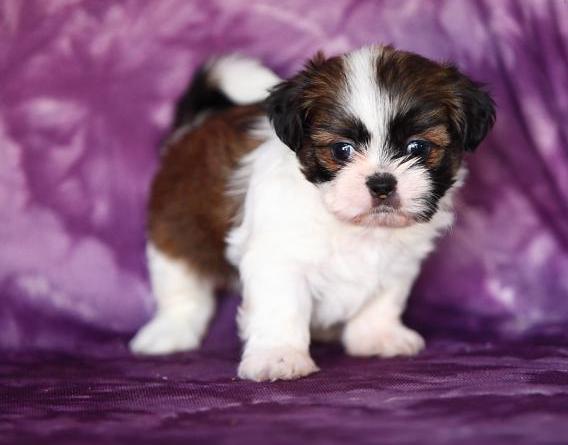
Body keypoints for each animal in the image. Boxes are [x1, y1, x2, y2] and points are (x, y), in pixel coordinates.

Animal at [129, 45, 492, 382]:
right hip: (174, 225)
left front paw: (377, 336)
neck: (355, 226)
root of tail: (194, 125)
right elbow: (281, 307)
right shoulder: (277, 259)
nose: (382, 183)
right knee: (181, 284)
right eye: (341, 150)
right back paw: (170, 332)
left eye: (417, 148)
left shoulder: (398, 263)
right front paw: (278, 356)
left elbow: (382, 299)